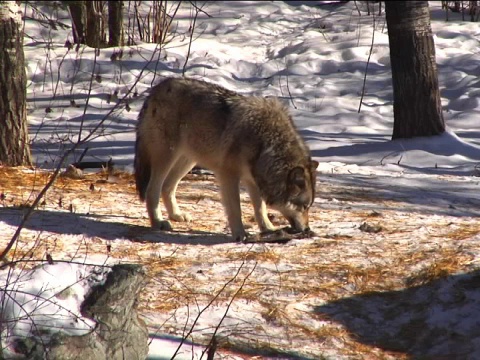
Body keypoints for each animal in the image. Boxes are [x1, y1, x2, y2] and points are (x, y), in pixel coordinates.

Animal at [134, 78, 318, 242]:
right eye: (303, 207)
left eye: (309, 207)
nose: (307, 229)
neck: (266, 140)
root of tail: (155, 89)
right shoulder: (228, 175)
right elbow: (236, 209)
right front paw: (240, 234)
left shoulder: (253, 179)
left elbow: (260, 208)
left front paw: (268, 229)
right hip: (166, 157)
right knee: (152, 189)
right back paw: (158, 222)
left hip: (188, 160)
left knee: (167, 186)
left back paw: (176, 215)